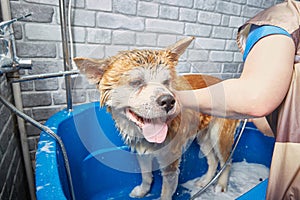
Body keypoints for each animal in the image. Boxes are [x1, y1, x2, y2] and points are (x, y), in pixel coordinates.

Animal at [74, 37, 239, 198]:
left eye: (166, 82)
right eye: (136, 83)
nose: (168, 101)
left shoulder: (170, 164)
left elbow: (166, 192)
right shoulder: (141, 152)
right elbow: (146, 176)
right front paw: (143, 191)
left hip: (219, 137)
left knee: (227, 161)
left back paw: (221, 185)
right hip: (203, 138)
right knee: (213, 161)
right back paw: (205, 181)